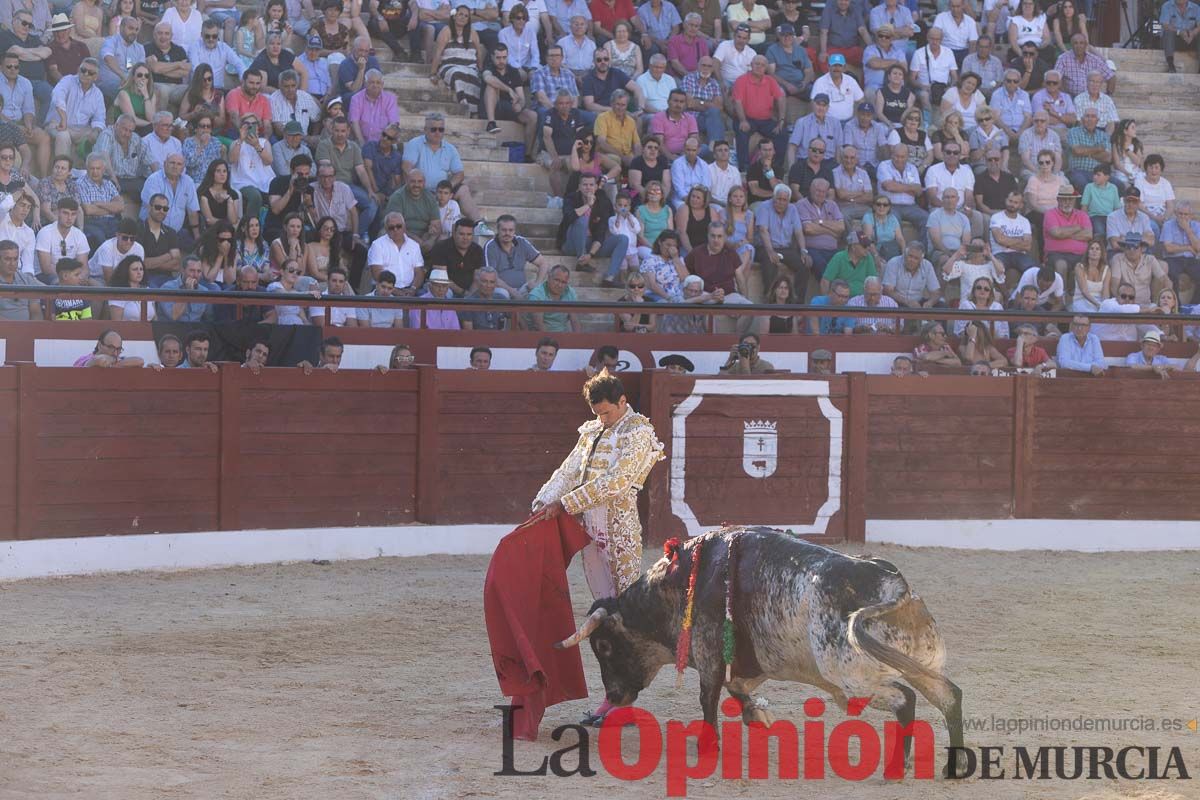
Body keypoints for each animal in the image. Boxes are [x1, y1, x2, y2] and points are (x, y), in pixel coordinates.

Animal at [554, 527, 964, 772]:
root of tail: (896, 587)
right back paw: (955, 765)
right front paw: (757, 716)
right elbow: (736, 689)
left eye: (604, 645)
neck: (680, 583)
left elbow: (708, 696)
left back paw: (899, 766)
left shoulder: (708, 650)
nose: (613, 696)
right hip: (917, 663)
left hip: (850, 678)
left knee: (906, 699)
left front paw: (709, 744)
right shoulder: (751, 661)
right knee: (949, 696)